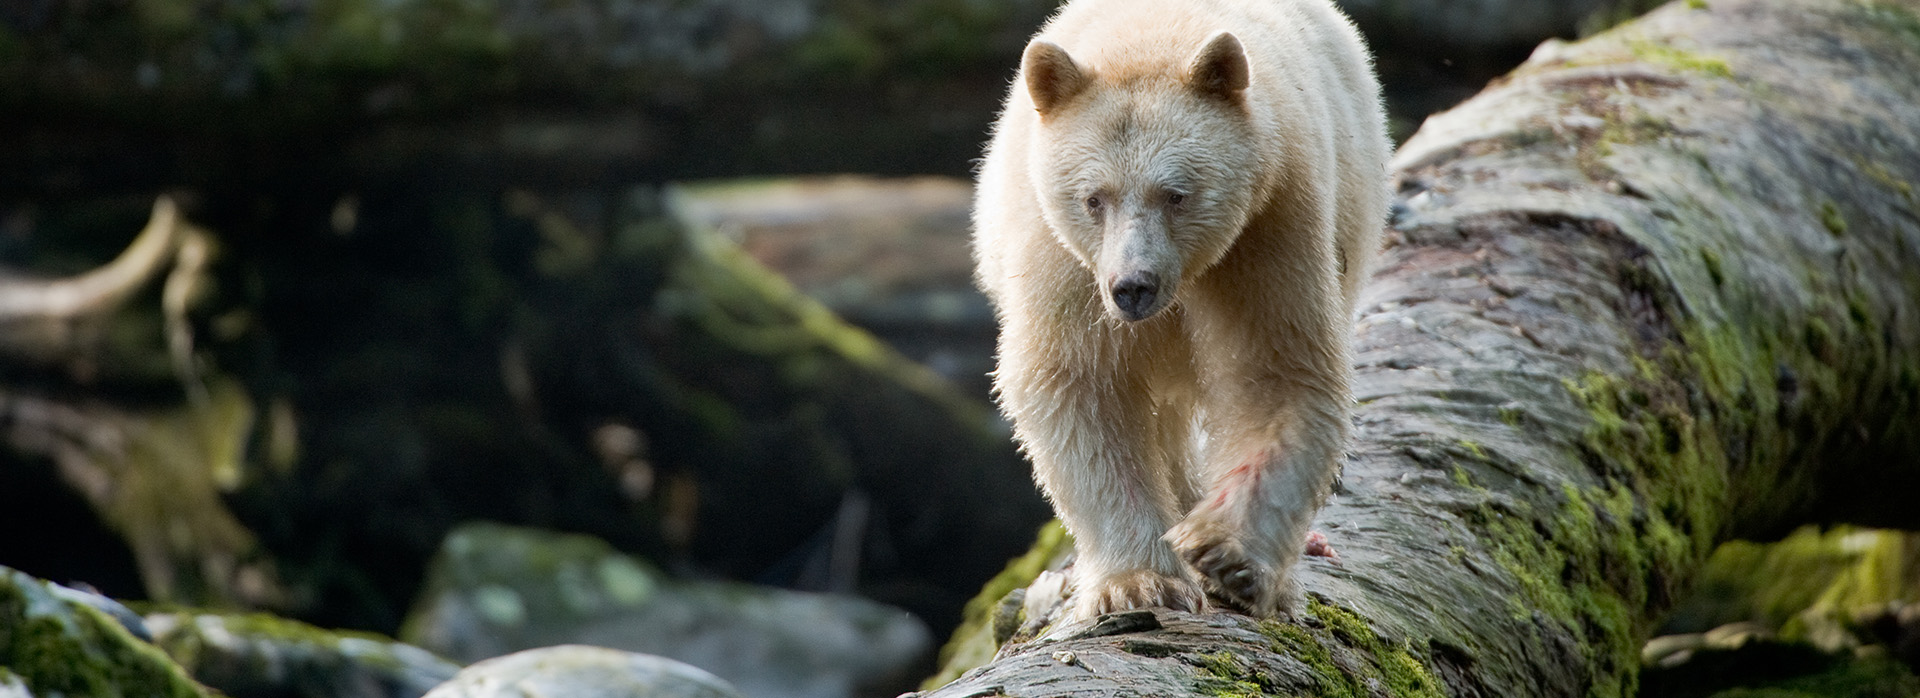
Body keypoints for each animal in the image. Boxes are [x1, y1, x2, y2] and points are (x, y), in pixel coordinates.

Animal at [972, 0, 1389, 620]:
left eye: (1176, 194)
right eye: (1093, 198)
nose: (1133, 286)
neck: (1150, 37)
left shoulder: (1268, 226)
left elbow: (1276, 369)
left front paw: (1226, 556)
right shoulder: (1063, 260)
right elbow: (1078, 380)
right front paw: (1140, 581)